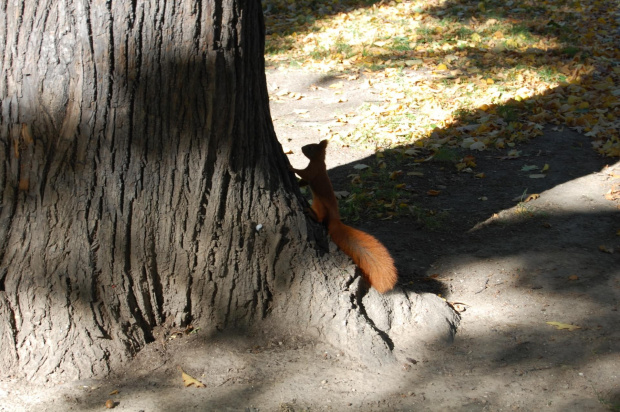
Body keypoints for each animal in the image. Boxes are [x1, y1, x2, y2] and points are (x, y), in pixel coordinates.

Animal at [290, 140, 398, 292]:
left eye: (310, 147)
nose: (302, 148)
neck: (319, 161)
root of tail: (335, 219)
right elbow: (304, 180)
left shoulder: (314, 170)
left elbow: (304, 174)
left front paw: (290, 166)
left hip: (319, 204)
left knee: (320, 218)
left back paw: (311, 213)